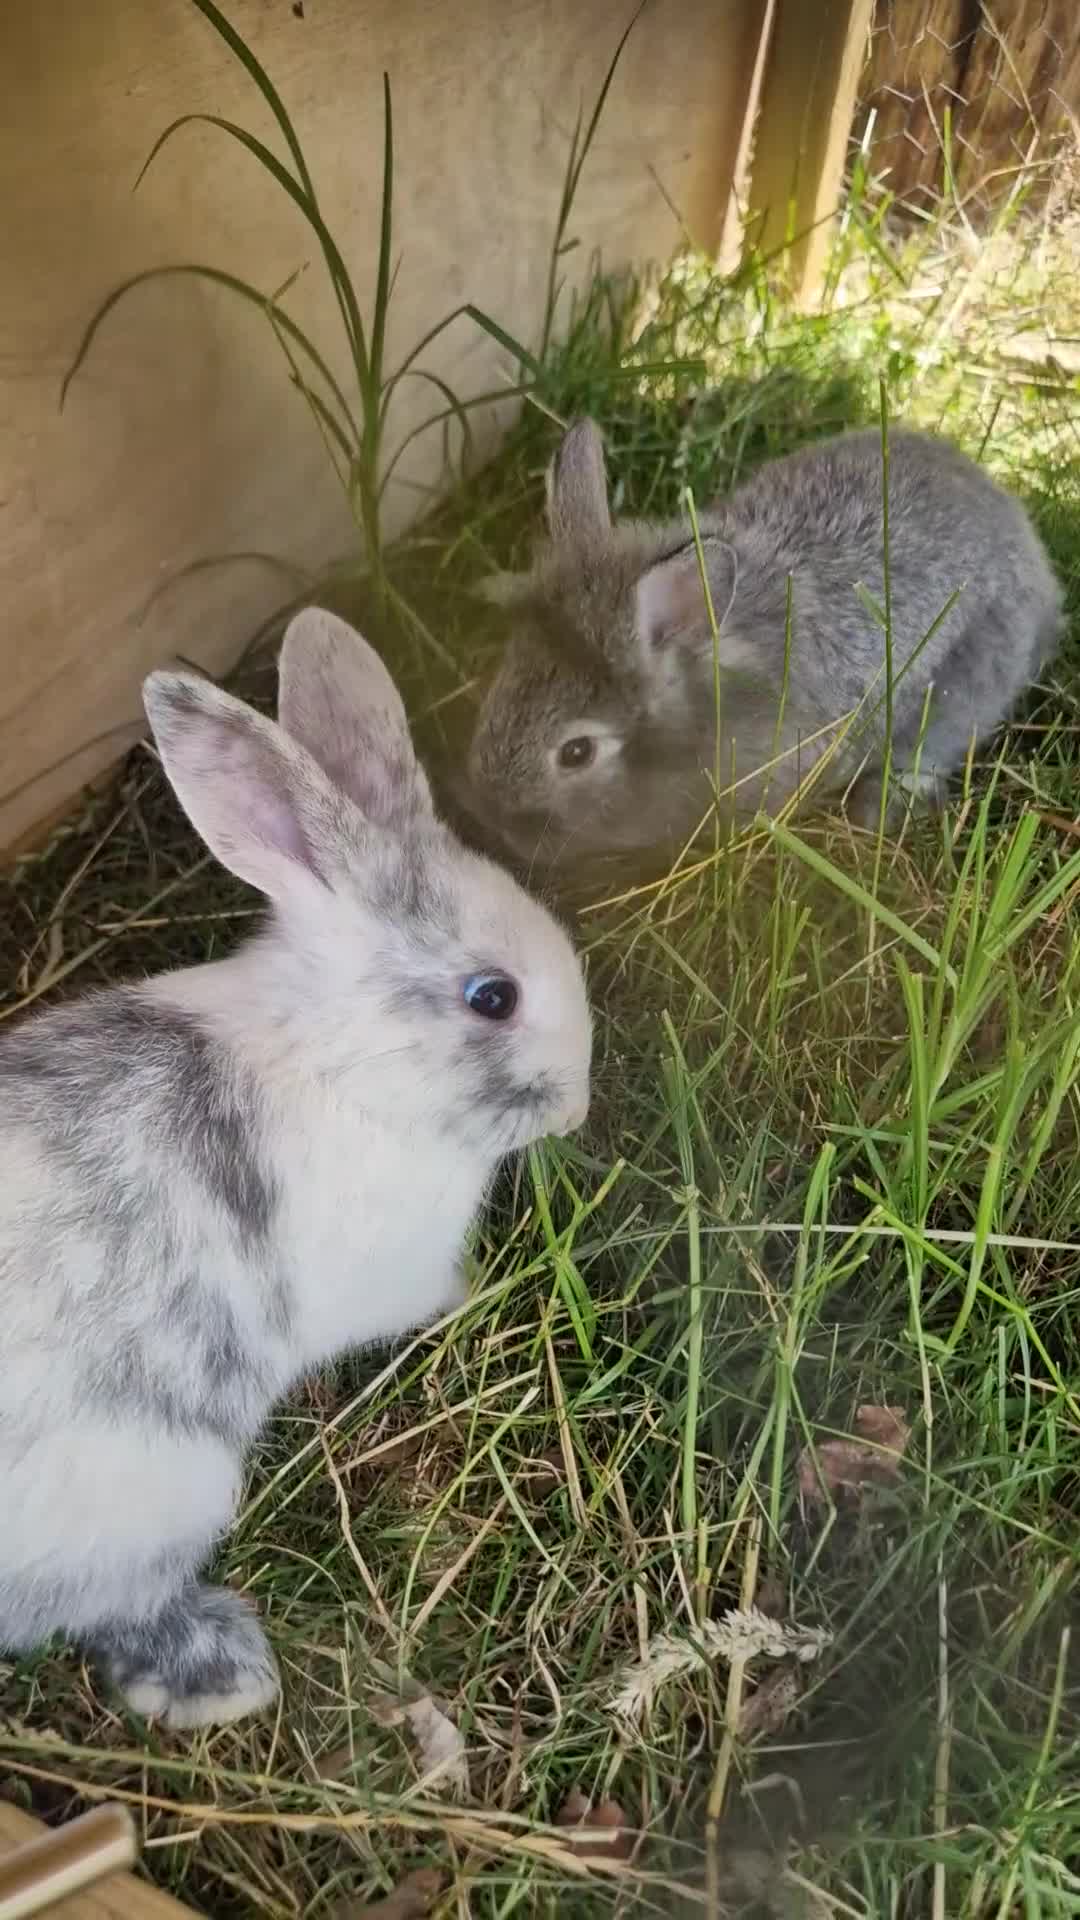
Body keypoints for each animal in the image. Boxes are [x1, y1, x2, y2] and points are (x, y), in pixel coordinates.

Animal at [0, 608, 592, 1729]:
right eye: (492, 997)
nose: (576, 1101)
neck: (338, 1056)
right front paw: (471, 1289)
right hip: (166, 1482)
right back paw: (223, 1673)